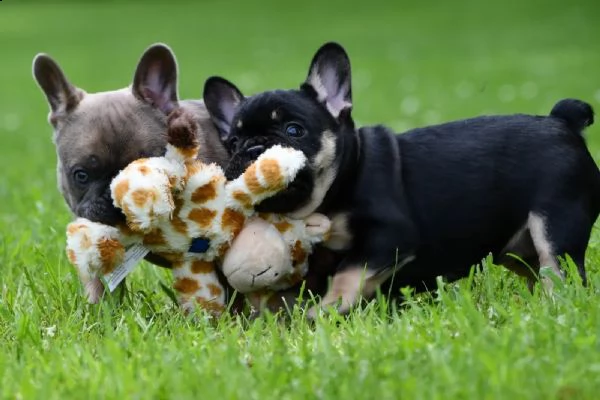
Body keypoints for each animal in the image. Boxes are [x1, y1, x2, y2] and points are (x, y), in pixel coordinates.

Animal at [203, 40, 600, 316]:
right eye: (233, 142)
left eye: (293, 130)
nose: (253, 149)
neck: (340, 183)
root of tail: (562, 122)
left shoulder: (389, 235)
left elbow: (349, 271)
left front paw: (327, 309)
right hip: (517, 248)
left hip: (554, 226)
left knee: (559, 272)